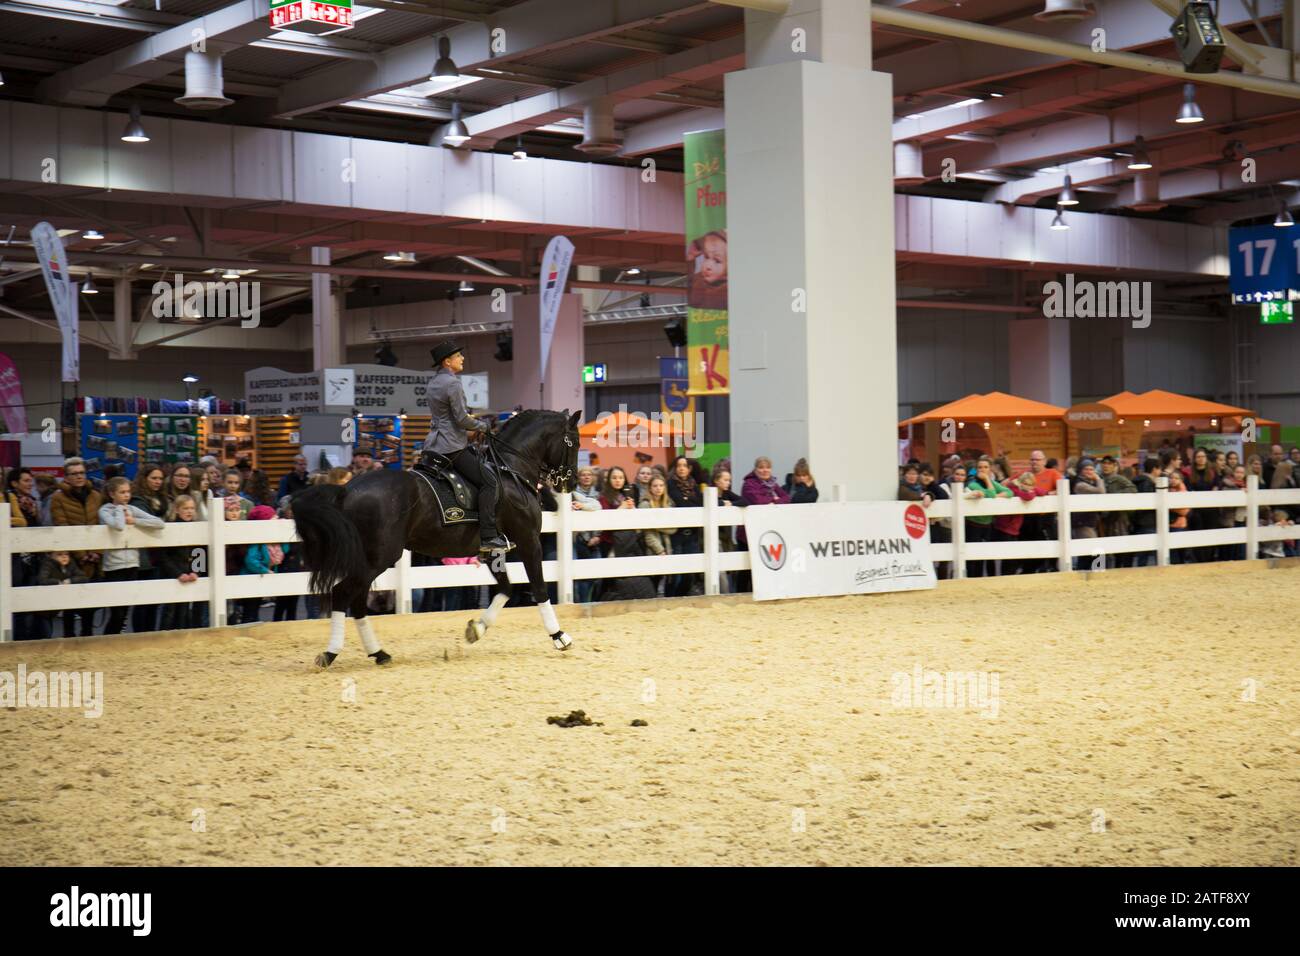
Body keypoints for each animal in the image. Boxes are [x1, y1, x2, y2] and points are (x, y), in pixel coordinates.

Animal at [295, 408, 585, 665]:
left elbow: (505, 589)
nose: (570, 484)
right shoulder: (528, 540)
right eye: (574, 442)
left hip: (368, 559)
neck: (510, 470)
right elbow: (539, 588)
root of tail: (346, 490)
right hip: (380, 556)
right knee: (343, 593)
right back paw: (331, 653)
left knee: (356, 601)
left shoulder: (493, 550)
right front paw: (559, 636)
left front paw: (476, 629)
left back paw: (378, 653)